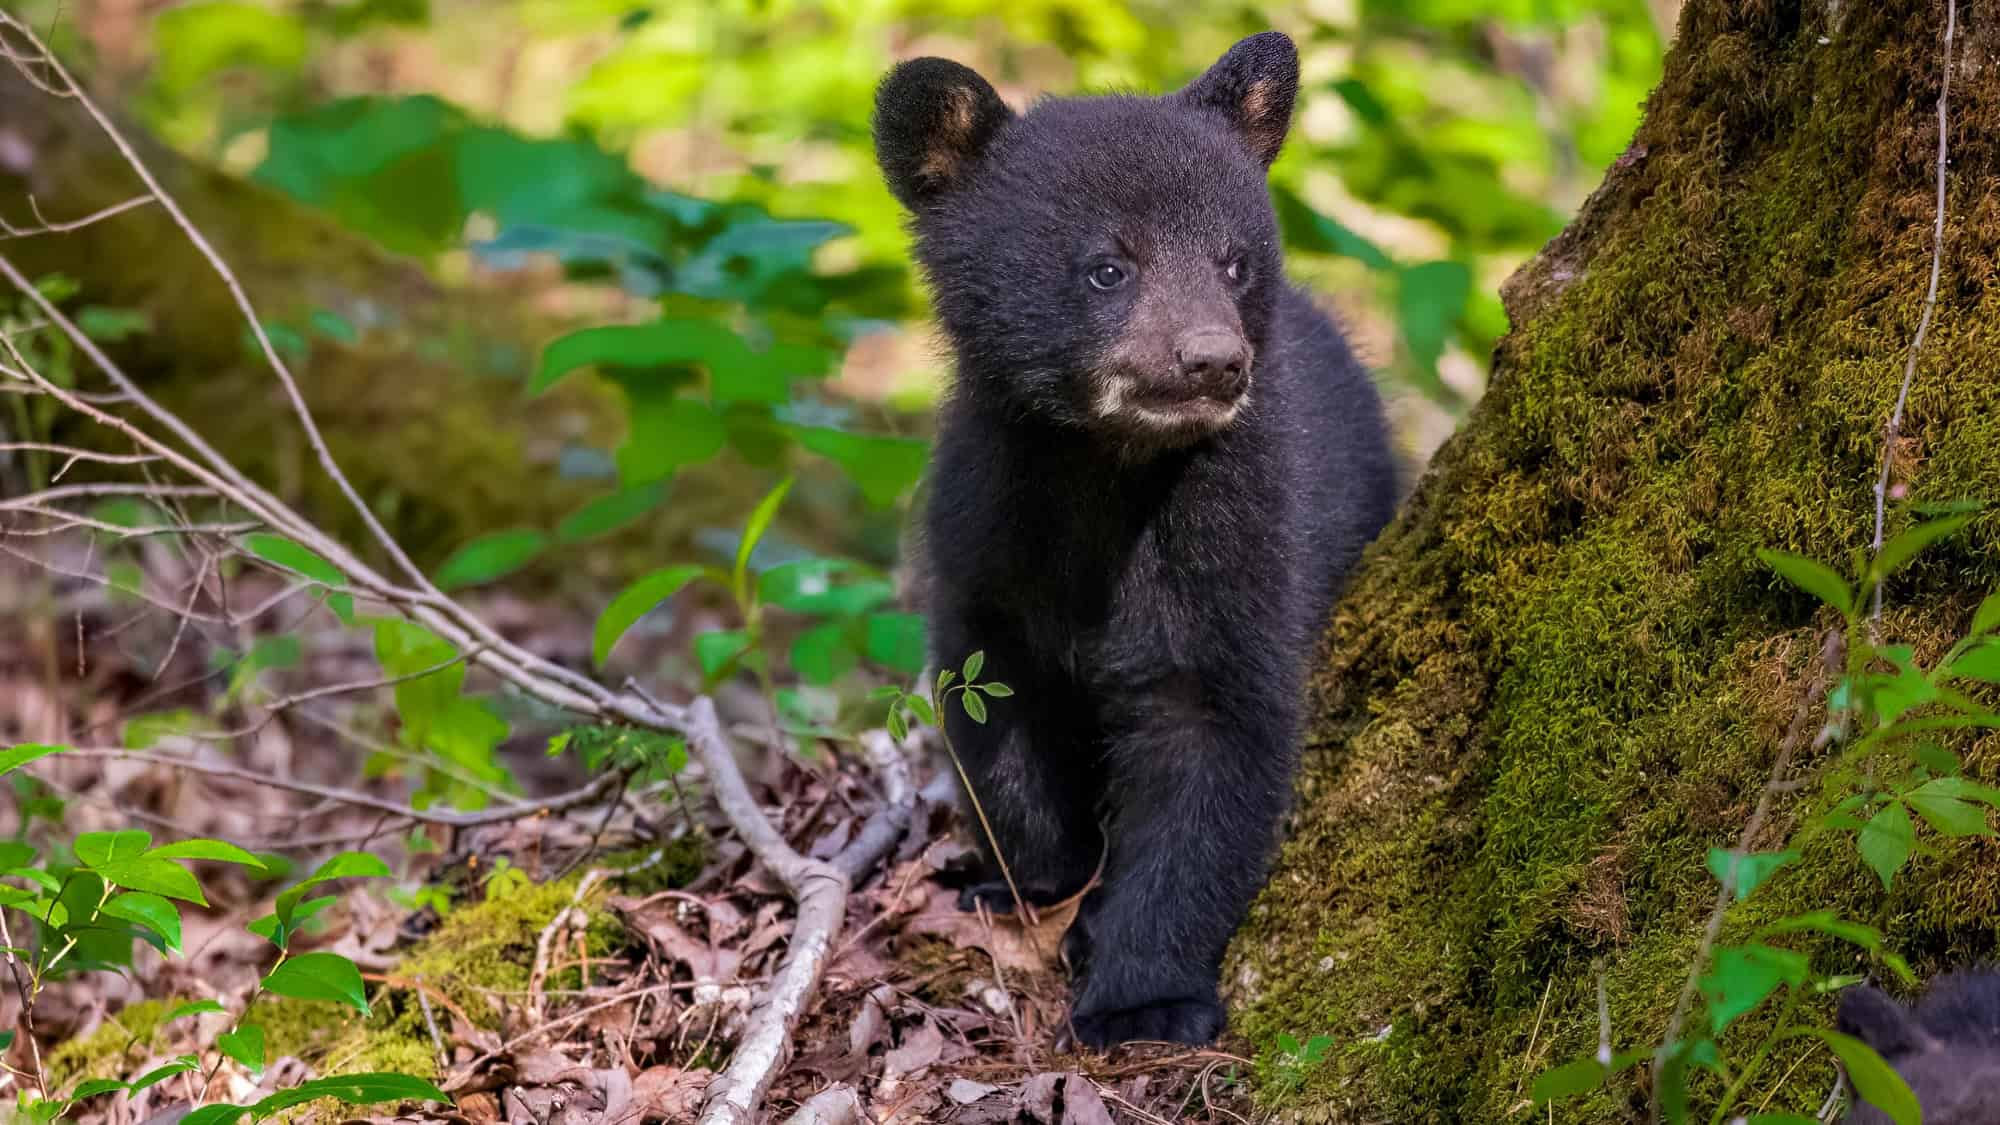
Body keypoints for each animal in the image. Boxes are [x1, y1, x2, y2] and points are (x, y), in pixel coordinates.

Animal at [873, 32, 1399, 1048]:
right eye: (1107, 267)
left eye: (1234, 263)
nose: (1212, 360)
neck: (1102, 475)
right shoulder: (985, 526)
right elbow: (997, 706)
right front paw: (1027, 886)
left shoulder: (1235, 536)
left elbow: (1213, 738)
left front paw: (1142, 994)